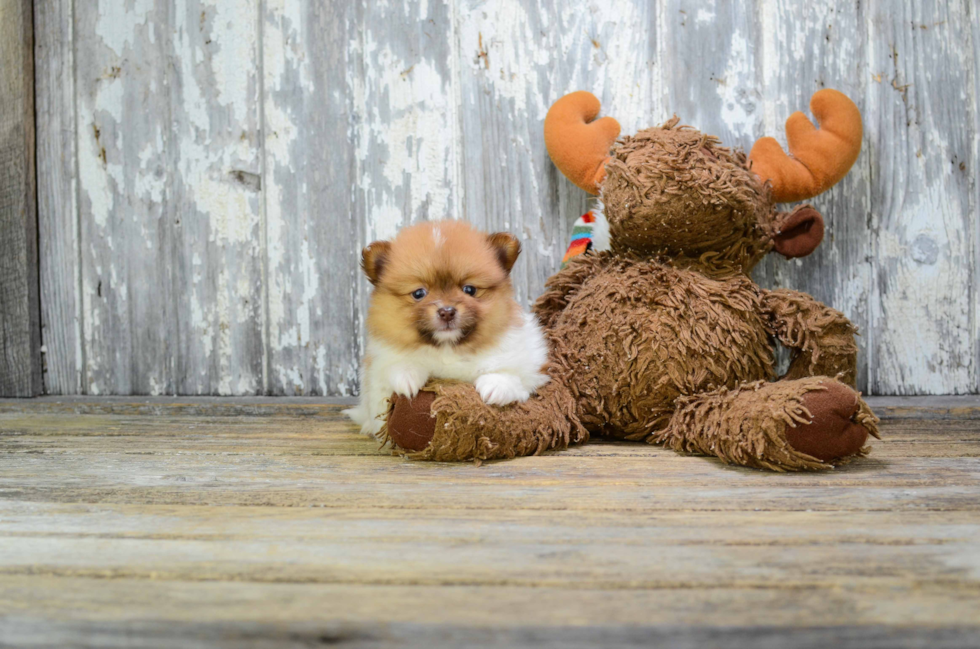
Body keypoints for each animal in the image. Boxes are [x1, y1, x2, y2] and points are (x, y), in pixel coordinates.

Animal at [348, 220, 552, 438]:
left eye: (469, 289)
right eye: (419, 293)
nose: (447, 311)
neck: (448, 348)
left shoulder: (530, 361)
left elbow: (515, 375)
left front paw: (497, 386)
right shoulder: (377, 371)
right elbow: (393, 368)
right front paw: (406, 376)